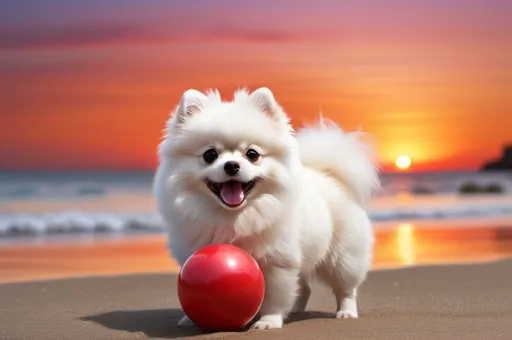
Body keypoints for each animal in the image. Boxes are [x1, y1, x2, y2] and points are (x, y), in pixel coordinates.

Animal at [152, 87, 380, 330]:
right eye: (209, 155)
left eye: (252, 154)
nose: (231, 165)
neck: (235, 216)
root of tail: (329, 175)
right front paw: (191, 318)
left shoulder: (277, 262)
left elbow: (274, 296)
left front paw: (268, 321)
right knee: (304, 287)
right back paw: (296, 308)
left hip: (341, 257)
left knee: (346, 288)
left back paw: (346, 312)